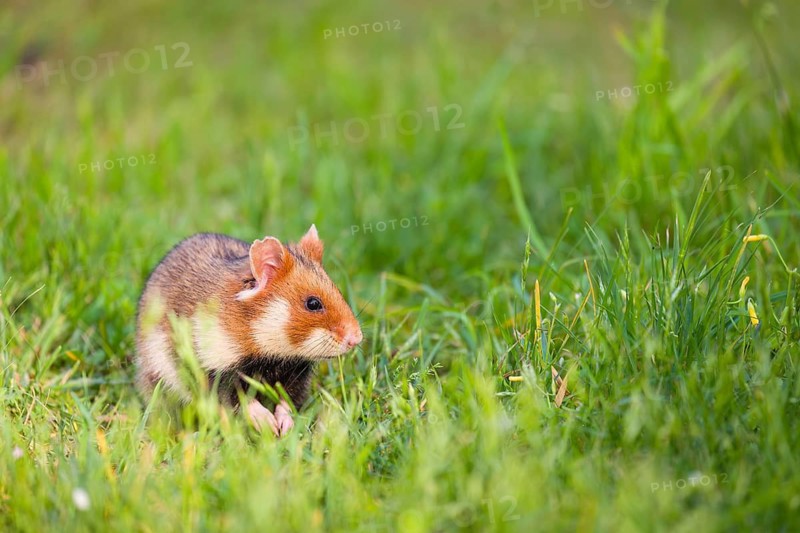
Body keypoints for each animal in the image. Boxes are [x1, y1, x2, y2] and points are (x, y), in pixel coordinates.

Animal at [134, 225, 362, 436]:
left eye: (337, 290)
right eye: (313, 303)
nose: (357, 339)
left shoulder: (296, 375)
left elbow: (286, 401)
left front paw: (284, 428)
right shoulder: (214, 370)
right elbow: (241, 400)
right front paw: (268, 424)